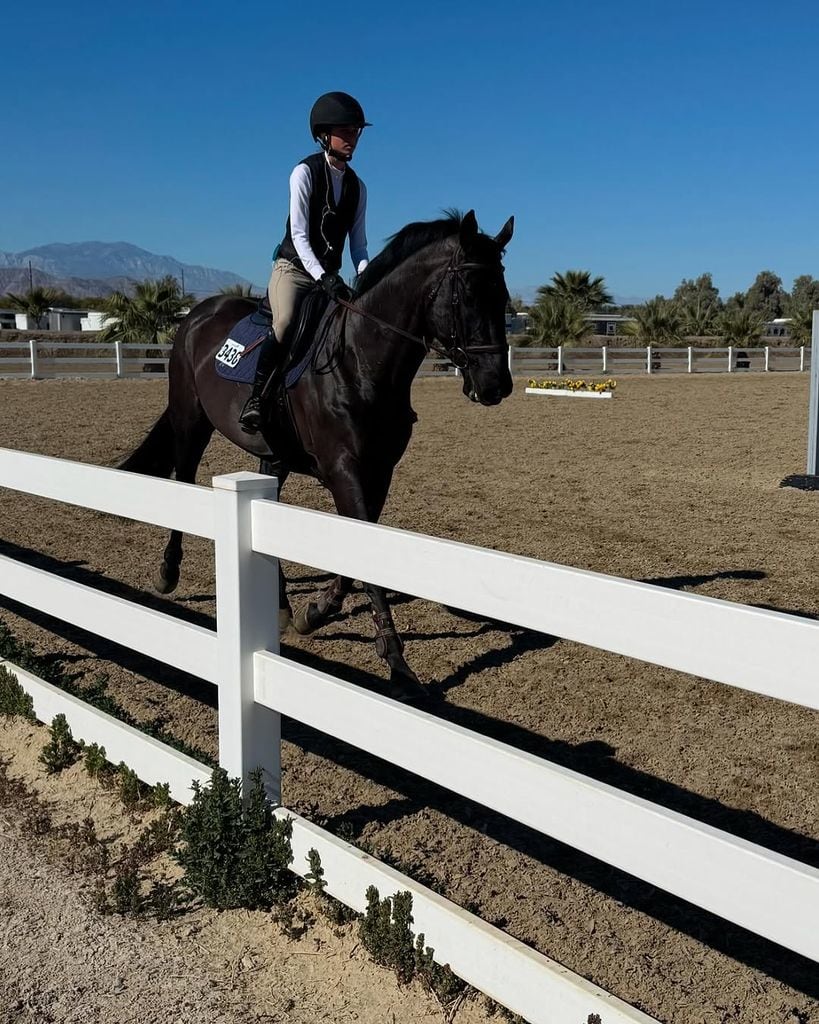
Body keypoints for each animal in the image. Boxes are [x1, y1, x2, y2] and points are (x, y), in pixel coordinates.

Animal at [119, 209, 511, 704]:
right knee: (183, 484)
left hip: (273, 456)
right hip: (191, 423)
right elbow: (362, 553)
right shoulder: (344, 470)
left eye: (504, 297)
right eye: (468, 294)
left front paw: (317, 611)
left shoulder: (378, 473)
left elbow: (355, 550)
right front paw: (398, 665)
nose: (496, 385)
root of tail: (196, 315)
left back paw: (282, 607)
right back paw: (168, 573)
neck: (360, 360)